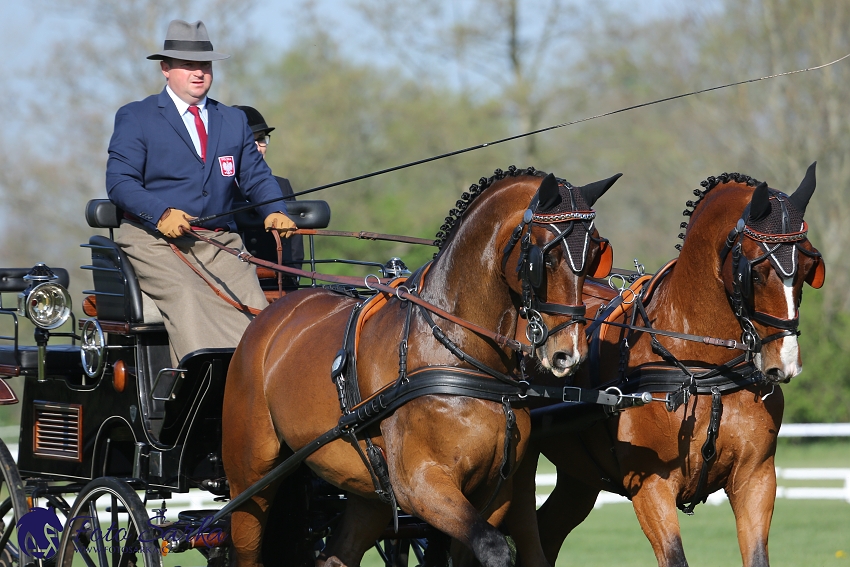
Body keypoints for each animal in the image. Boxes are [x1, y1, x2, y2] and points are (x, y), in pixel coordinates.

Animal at [222, 165, 620, 567]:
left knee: (337, 555)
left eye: (594, 255)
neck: (456, 354)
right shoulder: (421, 485)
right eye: (545, 259)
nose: (568, 353)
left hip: (368, 493)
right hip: (250, 478)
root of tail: (272, 314)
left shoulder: (494, 491)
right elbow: (493, 547)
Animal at [506, 162, 824, 564]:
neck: (704, 370)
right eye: (755, 270)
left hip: (579, 477)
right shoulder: (651, 487)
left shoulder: (757, 479)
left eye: (809, 266)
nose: (785, 362)